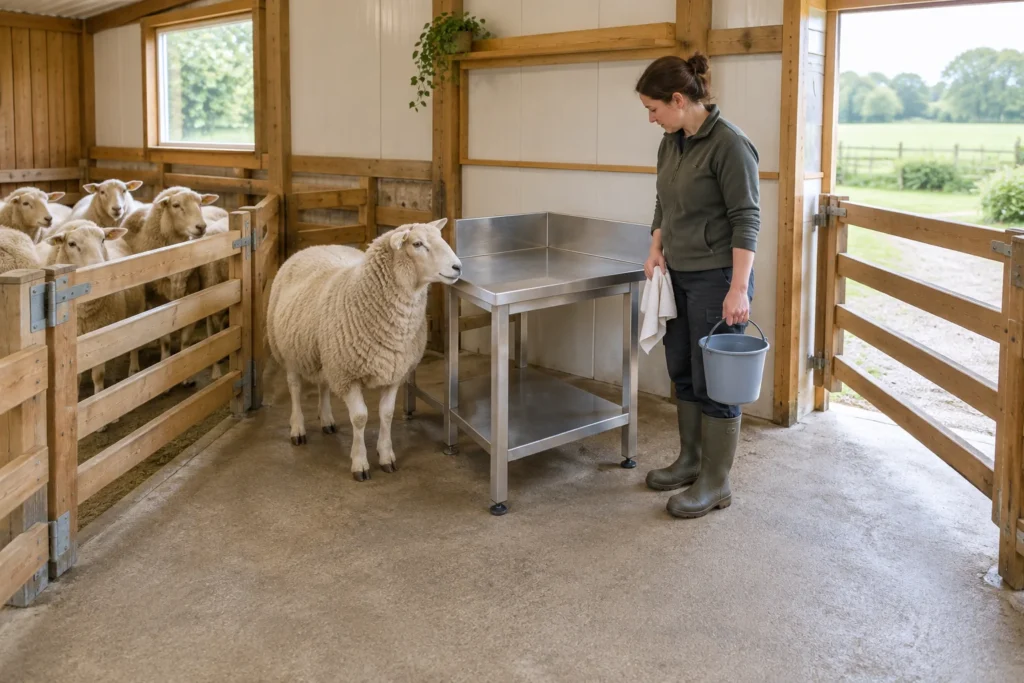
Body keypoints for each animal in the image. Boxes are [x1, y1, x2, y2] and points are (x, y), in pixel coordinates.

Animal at [42, 220, 145, 405]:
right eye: (71, 244)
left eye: (103, 239)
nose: (99, 266)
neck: (85, 313)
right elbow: (76, 378)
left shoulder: (101, 334)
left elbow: (98, 375)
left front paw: (100, 399)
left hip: (137, 309)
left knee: (134, 344)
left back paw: (133, 369)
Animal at [265, 218, 462, 480]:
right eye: (417, 244)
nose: (457, 267)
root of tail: (315, 246)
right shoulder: (348, 375)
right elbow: (360, 418)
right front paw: (360, 463)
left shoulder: (393, 372)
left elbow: (386, 414)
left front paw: (386, 456)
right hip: (288, 351)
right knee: (295, 388)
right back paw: (297, 428)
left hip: (324, 352)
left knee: (323, 384)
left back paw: (327, 420)